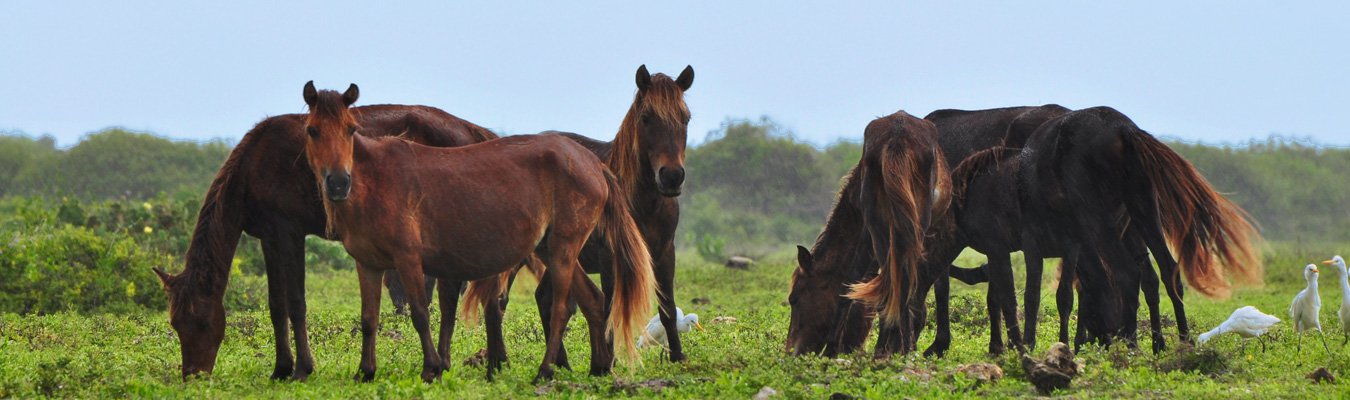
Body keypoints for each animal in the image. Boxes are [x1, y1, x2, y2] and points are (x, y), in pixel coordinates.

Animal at [153, 99, 499, 378]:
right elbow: (276, 305)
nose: (193, 374)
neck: (254, 166)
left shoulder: (290, 233)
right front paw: (280, 369)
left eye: (200, 321)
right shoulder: (269, 238)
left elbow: (296, 303)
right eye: (175, 324)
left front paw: (302, 369)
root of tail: (472, 131)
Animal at [299, 82, 653, 383]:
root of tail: (593, 164)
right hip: (550, 249)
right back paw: (598, 368)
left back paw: (544, 371)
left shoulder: (408, 258)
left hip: (562, 248)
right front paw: (365, 372)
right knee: (593, 300)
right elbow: (369, 319)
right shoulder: (368, 264)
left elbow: (420, 313)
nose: (338, 183)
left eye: (351, 129)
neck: (375, 182)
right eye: (312, 130)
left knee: (563, 308)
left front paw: (431, 369)